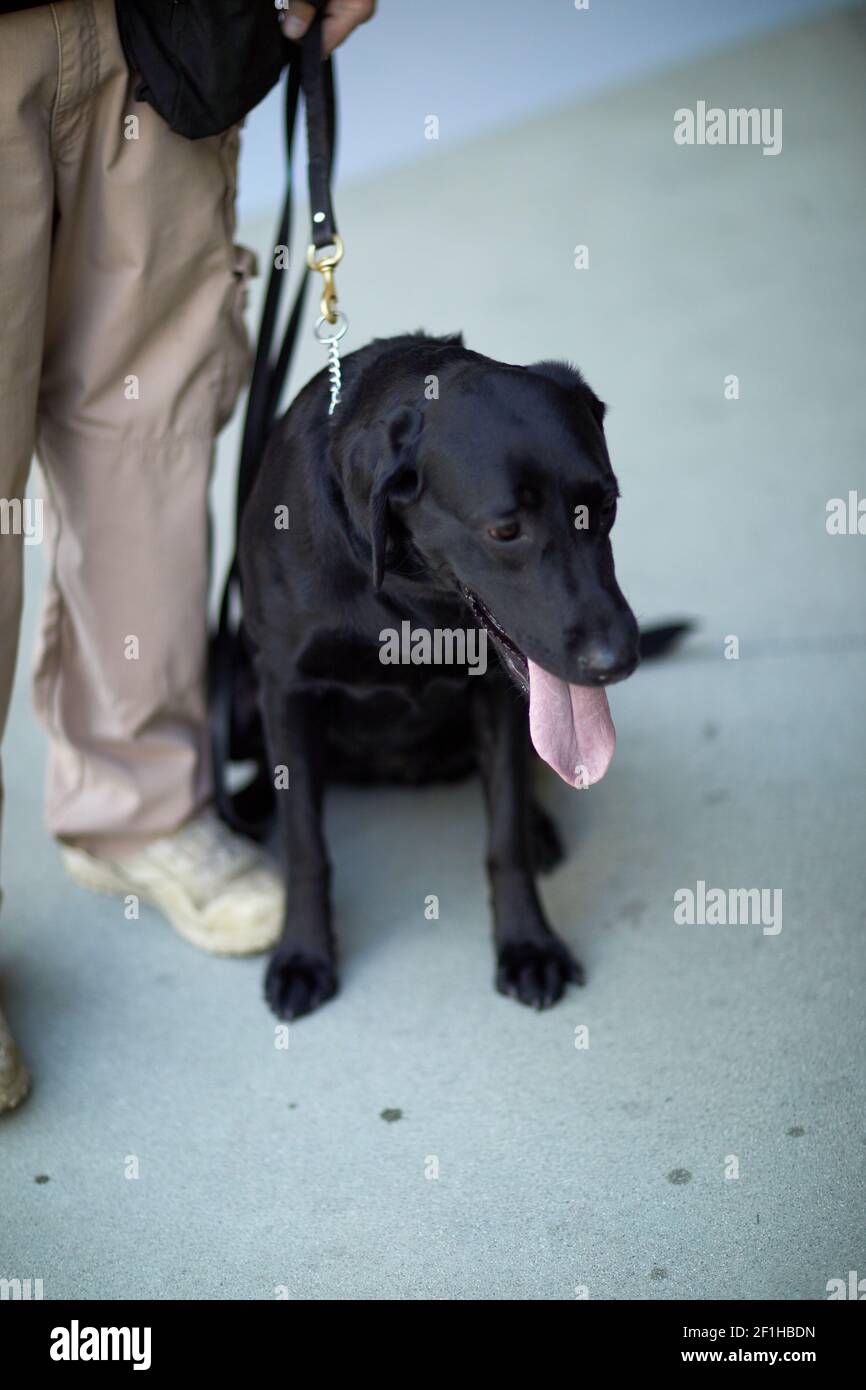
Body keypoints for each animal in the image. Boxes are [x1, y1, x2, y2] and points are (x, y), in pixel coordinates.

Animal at [240, 329, 647, 1017]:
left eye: (606, 504)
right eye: (505, 529)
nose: (617, 660)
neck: (410, 594)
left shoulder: (501, 697)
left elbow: (505, 835)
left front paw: (527, 944)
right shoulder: (284, 688)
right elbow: (306, 847)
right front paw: (303, 955)